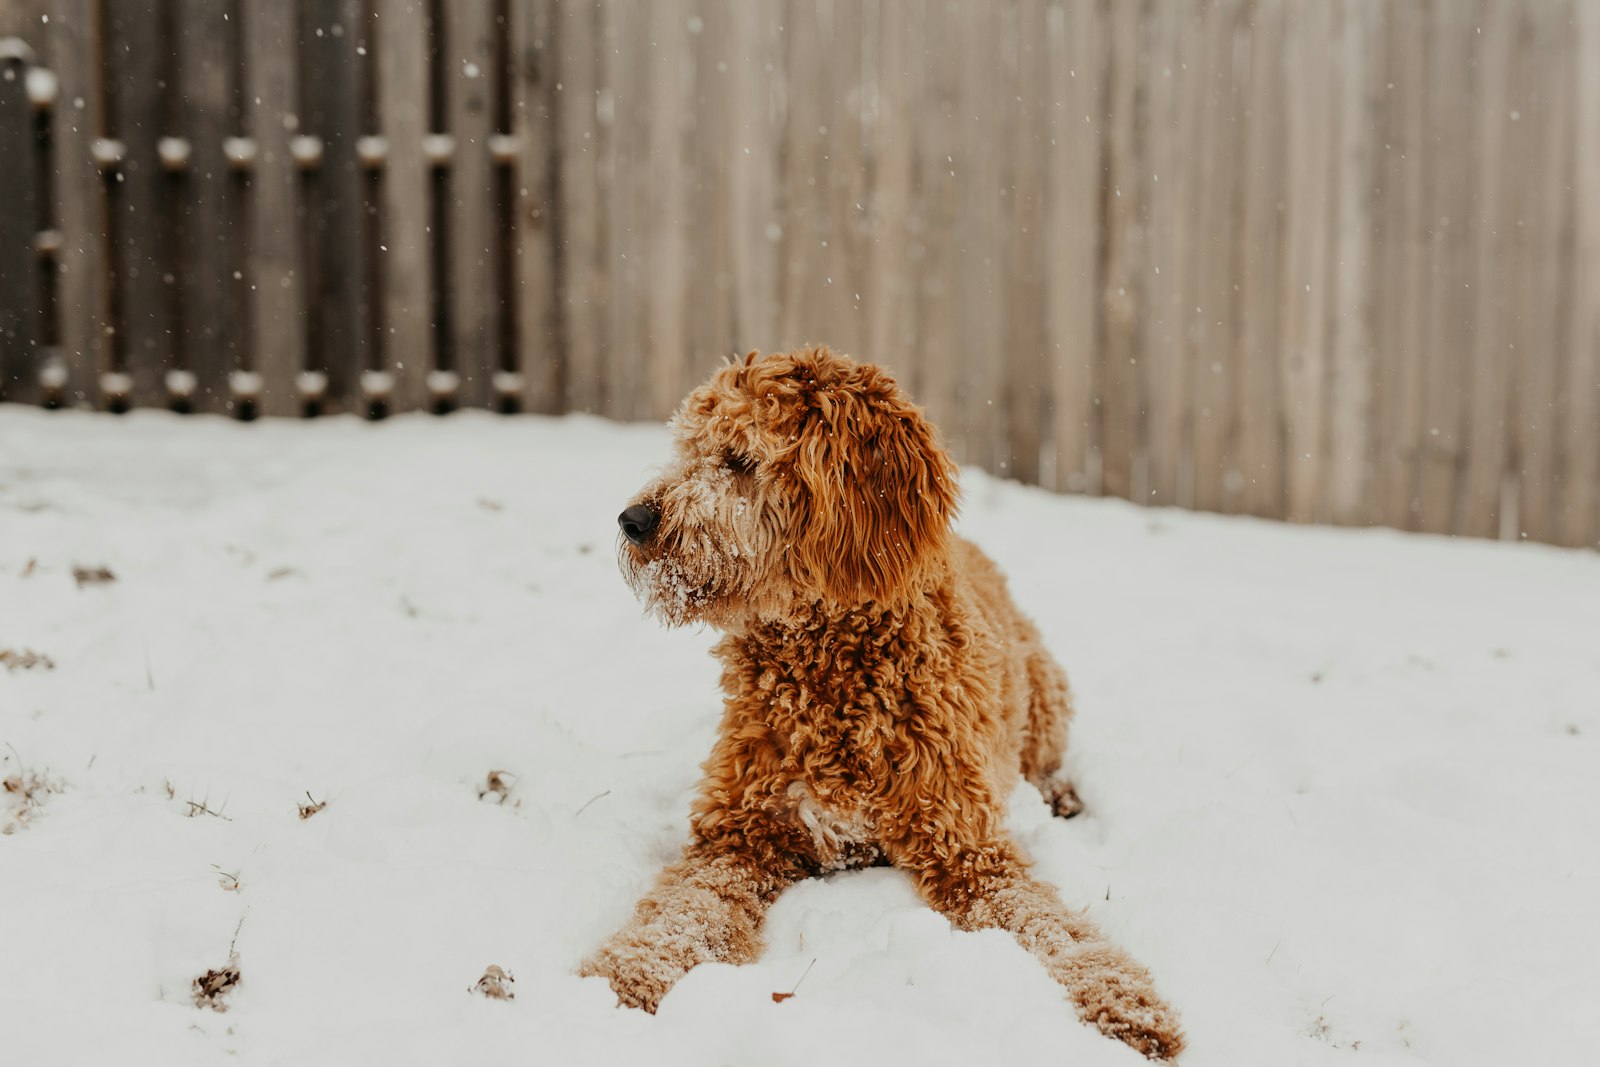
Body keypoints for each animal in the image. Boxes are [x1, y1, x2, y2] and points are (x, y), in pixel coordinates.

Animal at [582, 348, 1184, 1062]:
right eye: (688, 449)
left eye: (739, 459)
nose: (633, 520)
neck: (831, 673)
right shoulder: (738, 834)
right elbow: (681, 913)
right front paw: (622, 978)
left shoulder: (968, 849)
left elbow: (1052, 930)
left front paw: (1127, 1003)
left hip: (1044, 687)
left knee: (1047, 757)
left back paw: (1061, 795)